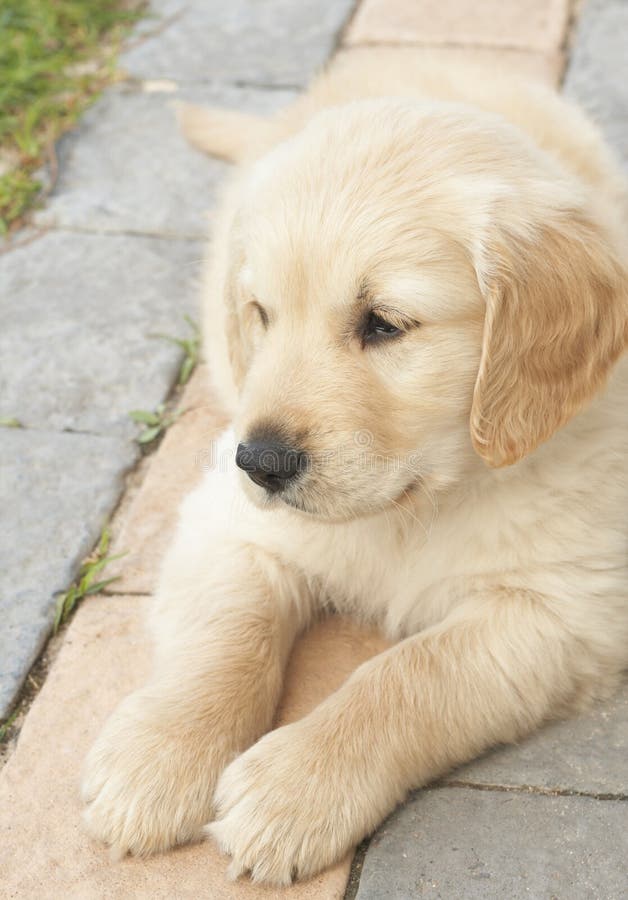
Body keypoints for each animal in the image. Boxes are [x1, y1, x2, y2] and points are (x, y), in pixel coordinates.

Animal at [82, 51, 628, 884]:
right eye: (261, 314)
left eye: (385, 325)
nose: (260, 462)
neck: (420, 504)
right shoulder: (228, 523)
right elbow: (225, 637)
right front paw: (160, 755)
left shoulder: (561, 609)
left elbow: (408, 676)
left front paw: (295, 787)